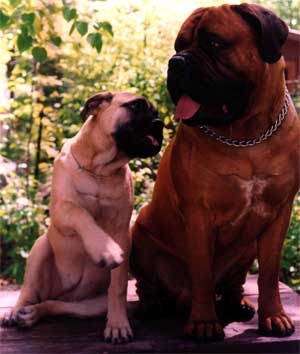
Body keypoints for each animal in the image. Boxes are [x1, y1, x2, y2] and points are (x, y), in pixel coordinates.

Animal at [1, 91, 163, 342]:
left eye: (155, 112)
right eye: (136, 106)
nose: (160, 123)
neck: (99, 170)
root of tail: (66, 294)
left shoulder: (121, 231)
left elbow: (117, 287)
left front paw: (118, 325)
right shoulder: (61, 210)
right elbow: (80, 213)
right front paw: (105, 250)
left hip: (90, 305)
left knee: (56, 305)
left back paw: (33, 314)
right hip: (40, 247)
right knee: (29, 290)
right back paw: (18, 311)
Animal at [132, 4, 300, 342]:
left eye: (214, 43)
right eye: (178, 46)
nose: (175, 62)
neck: (247, 136)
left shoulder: (279, 213)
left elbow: (270, 272)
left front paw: (273, 316)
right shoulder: (199, 214)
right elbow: (201, 272)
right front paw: (204, 322)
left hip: (246, 250)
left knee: (234, 283)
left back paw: (239, 303)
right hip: (139, 233)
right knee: (149, 283)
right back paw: (152, 303)